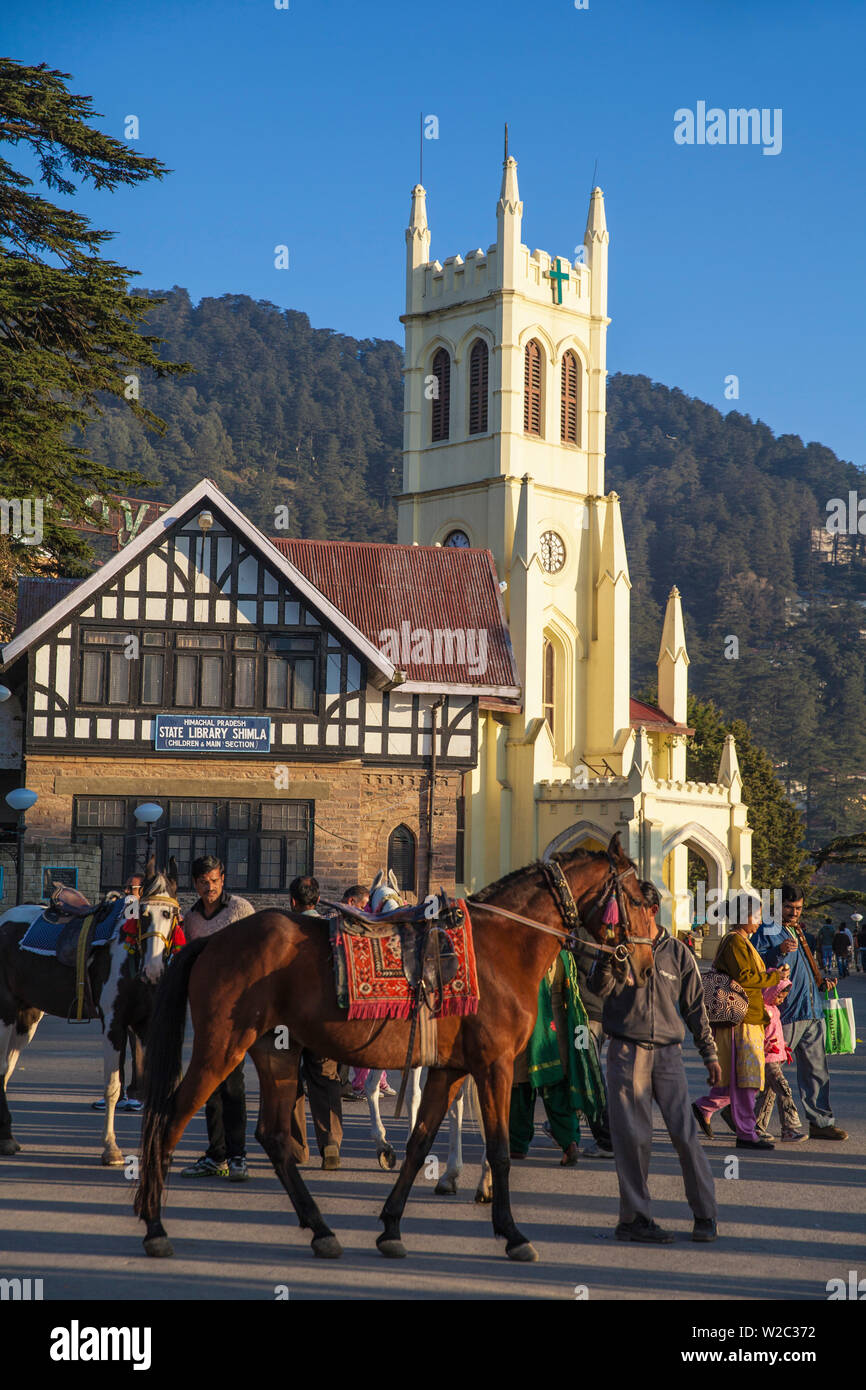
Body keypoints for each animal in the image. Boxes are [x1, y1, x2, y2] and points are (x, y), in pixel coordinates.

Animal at [135, 828, 653, 1267]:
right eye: (640, 897)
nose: (645, 965)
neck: (499, 949)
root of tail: (213, 941)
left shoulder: (449, 1069)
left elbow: (420, 1140)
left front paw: (391, 1226)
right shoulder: (494, 1065)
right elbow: (500, 1149)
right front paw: (512, 1234)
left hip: (274, 1050)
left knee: (274, 1137)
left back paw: (321, 1229)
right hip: (221, 1046)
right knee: (170, 1117)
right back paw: (155, 1226)